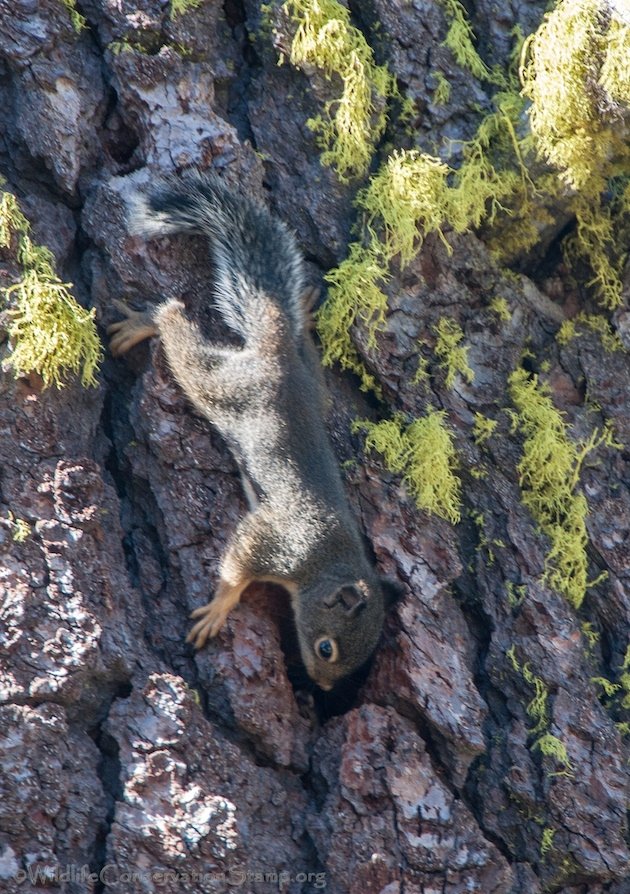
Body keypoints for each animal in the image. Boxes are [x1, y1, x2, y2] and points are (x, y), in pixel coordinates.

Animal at [107, 173, 396, 692]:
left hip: (311, 386)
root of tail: (276, 356)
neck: (328, 563)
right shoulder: (281, 544)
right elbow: (238, 564)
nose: (323, 688)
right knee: (179, 331)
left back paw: (303, 316)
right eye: (327, 648)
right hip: (225, 387)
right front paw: (221, 608)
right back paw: (149, 320)